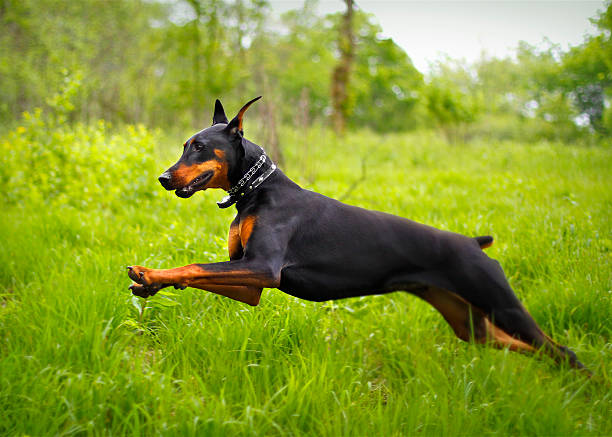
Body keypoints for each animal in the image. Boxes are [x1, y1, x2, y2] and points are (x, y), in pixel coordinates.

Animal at [128, 96, 584, 368]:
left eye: (200, 147)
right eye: (185, 145)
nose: (163, 178)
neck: (257, 191)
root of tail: (474, 244)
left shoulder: (263, 268)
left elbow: (193, 265)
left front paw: (150, 275)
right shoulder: (250, 284)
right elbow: (198, 273)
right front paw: (154, 284)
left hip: (500, 303)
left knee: (564, 351)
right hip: (471, 324)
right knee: (536, 350)